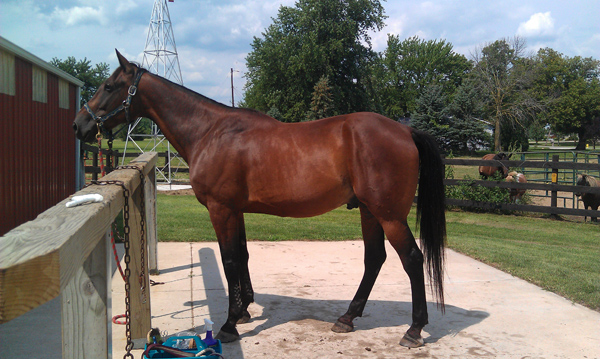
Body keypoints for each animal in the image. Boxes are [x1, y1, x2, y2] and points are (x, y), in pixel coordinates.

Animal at [72, 52, 448, 350]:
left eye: (109, 86)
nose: (80, 124)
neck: (210, 131)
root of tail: (405, 131)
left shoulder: (221, 209)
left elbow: (229, 261)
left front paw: (229, 324)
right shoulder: (235, 210)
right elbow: (243, 255)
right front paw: (244, 309)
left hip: (389, 215)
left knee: (412, 260)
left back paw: (414, 330)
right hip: (370, 212)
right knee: (375, 259)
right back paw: (347, 317)